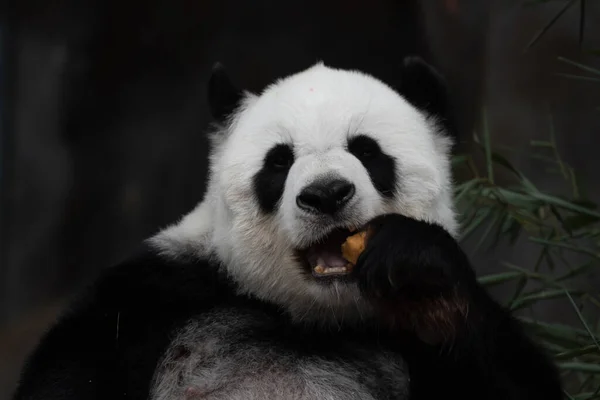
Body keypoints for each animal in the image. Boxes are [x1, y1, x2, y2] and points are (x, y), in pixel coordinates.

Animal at [12, 57, 564, 400]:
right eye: (279, 162)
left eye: (367, 151)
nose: (326, 194)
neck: (311, 317)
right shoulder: (152, 298)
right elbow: (71, 375)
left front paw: (419, 275)